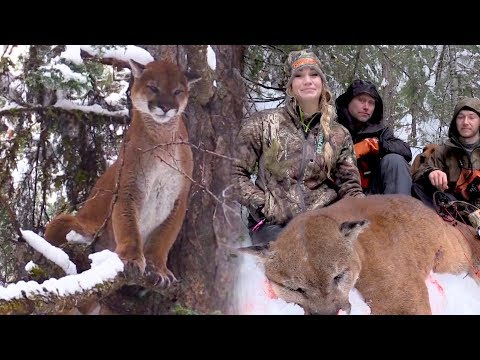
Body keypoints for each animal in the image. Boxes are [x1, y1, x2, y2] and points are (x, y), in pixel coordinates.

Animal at [45, 59, 201, 286]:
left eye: (177, 91)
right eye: (153, 87)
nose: (165, 107)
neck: (162, 138)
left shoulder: (179, 198)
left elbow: (163, 238)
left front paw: (158, 268)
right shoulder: (129, 187)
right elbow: (129, 227)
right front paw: (132, 259)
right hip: (67, 221)